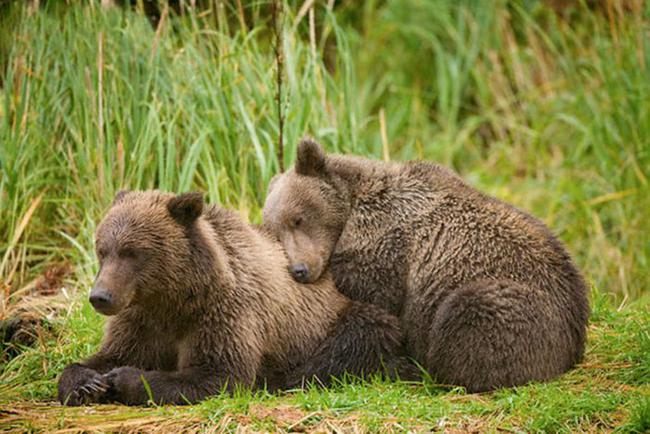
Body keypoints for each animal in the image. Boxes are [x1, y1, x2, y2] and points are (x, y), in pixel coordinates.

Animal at [58, 192, 408, 406]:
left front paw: (123, 378)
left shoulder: (225, 311)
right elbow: (111, 353)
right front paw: (87, 382)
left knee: (358, 336)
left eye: (132, 252)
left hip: (343, 316)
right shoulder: (141, 318)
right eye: (102, 250)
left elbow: (218, 373)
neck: (173, 298)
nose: (100, 296)